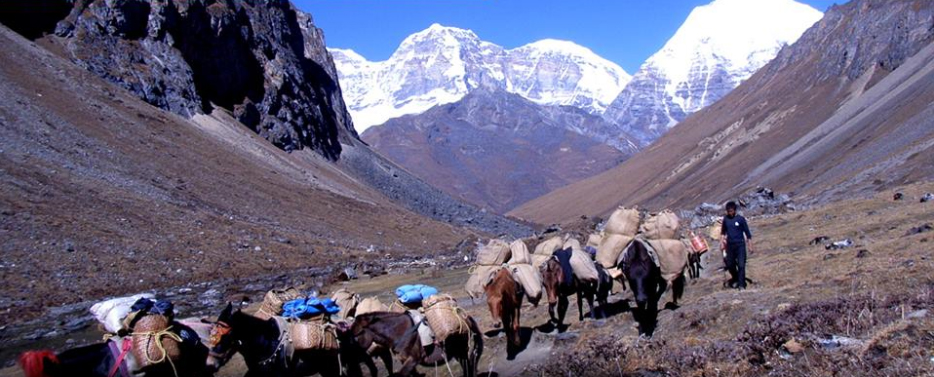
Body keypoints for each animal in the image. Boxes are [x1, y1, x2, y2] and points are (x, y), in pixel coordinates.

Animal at [348, 312, 486, 376]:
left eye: (356, 335)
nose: (352, 358)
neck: (400, 332)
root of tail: (465, 317)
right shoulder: (406, 362)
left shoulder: (413, 360)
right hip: (457, 353)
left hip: (461, 351)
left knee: (468, 366)